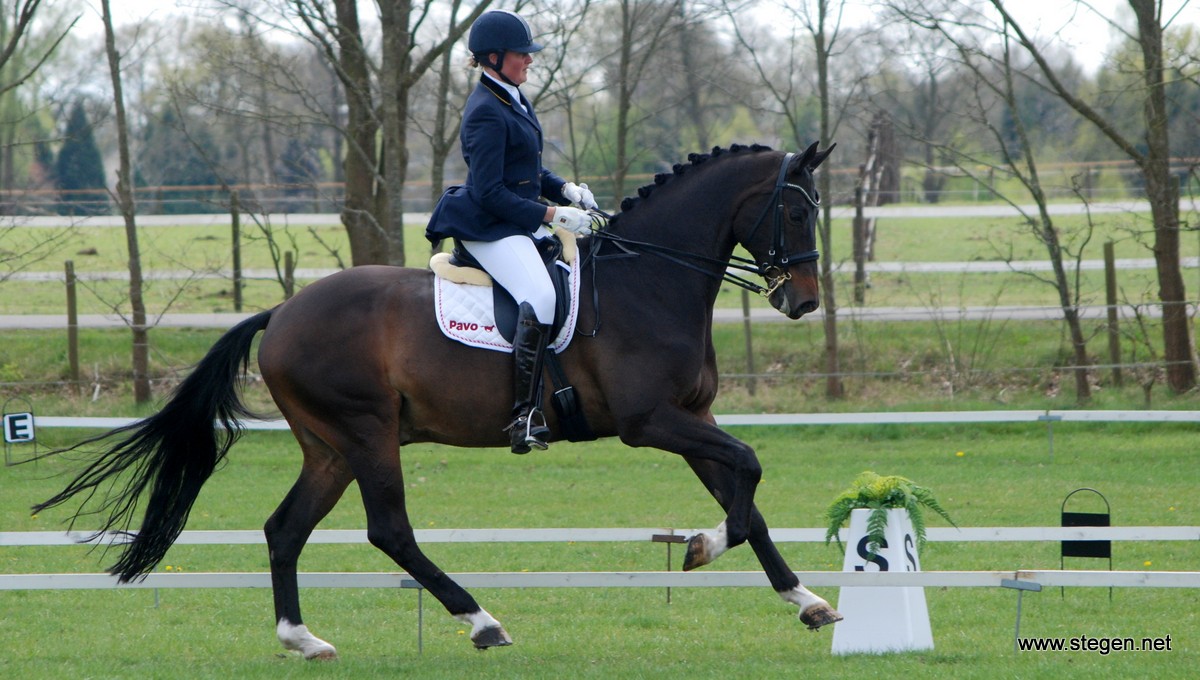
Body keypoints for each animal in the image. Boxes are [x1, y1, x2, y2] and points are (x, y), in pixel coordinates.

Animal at [39, 142, 844, 662]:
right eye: (794, 213)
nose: (803, 301)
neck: (650, 279)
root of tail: (283, 312)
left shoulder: (693, 418)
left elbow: (747, 496)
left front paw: (806, 600)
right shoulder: (653, 424)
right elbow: (749, 472)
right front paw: (704, 547)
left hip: (329, 447)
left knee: (284, 529)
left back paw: (303, 639)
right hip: (366, 434)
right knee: (389, 531)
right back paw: (482, 622)